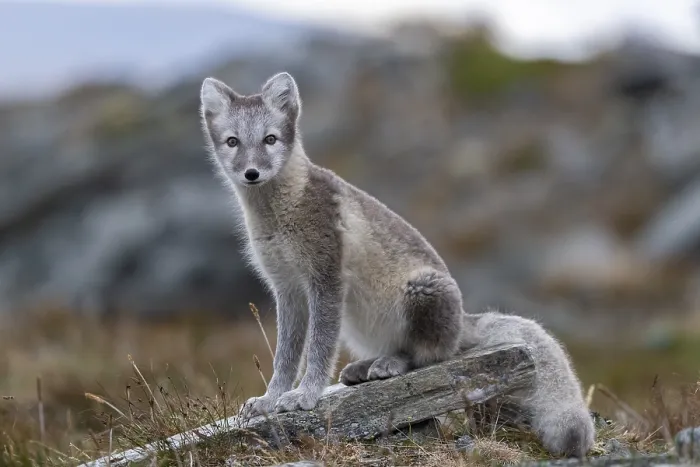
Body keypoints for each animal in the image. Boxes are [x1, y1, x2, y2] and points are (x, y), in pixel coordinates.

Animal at [198, 72, 596, 457]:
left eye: (270, 139)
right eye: (233, 142)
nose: (252, 173)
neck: (280, 212)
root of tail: (465, 321)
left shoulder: (326, 278)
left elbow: (319, 349)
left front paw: (305, 395)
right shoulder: (286, 289)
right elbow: (285, 354)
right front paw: (270, 399)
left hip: (422, 290)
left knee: (431, 356)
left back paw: (391, 365)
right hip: (357, 323)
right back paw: (363, 368)